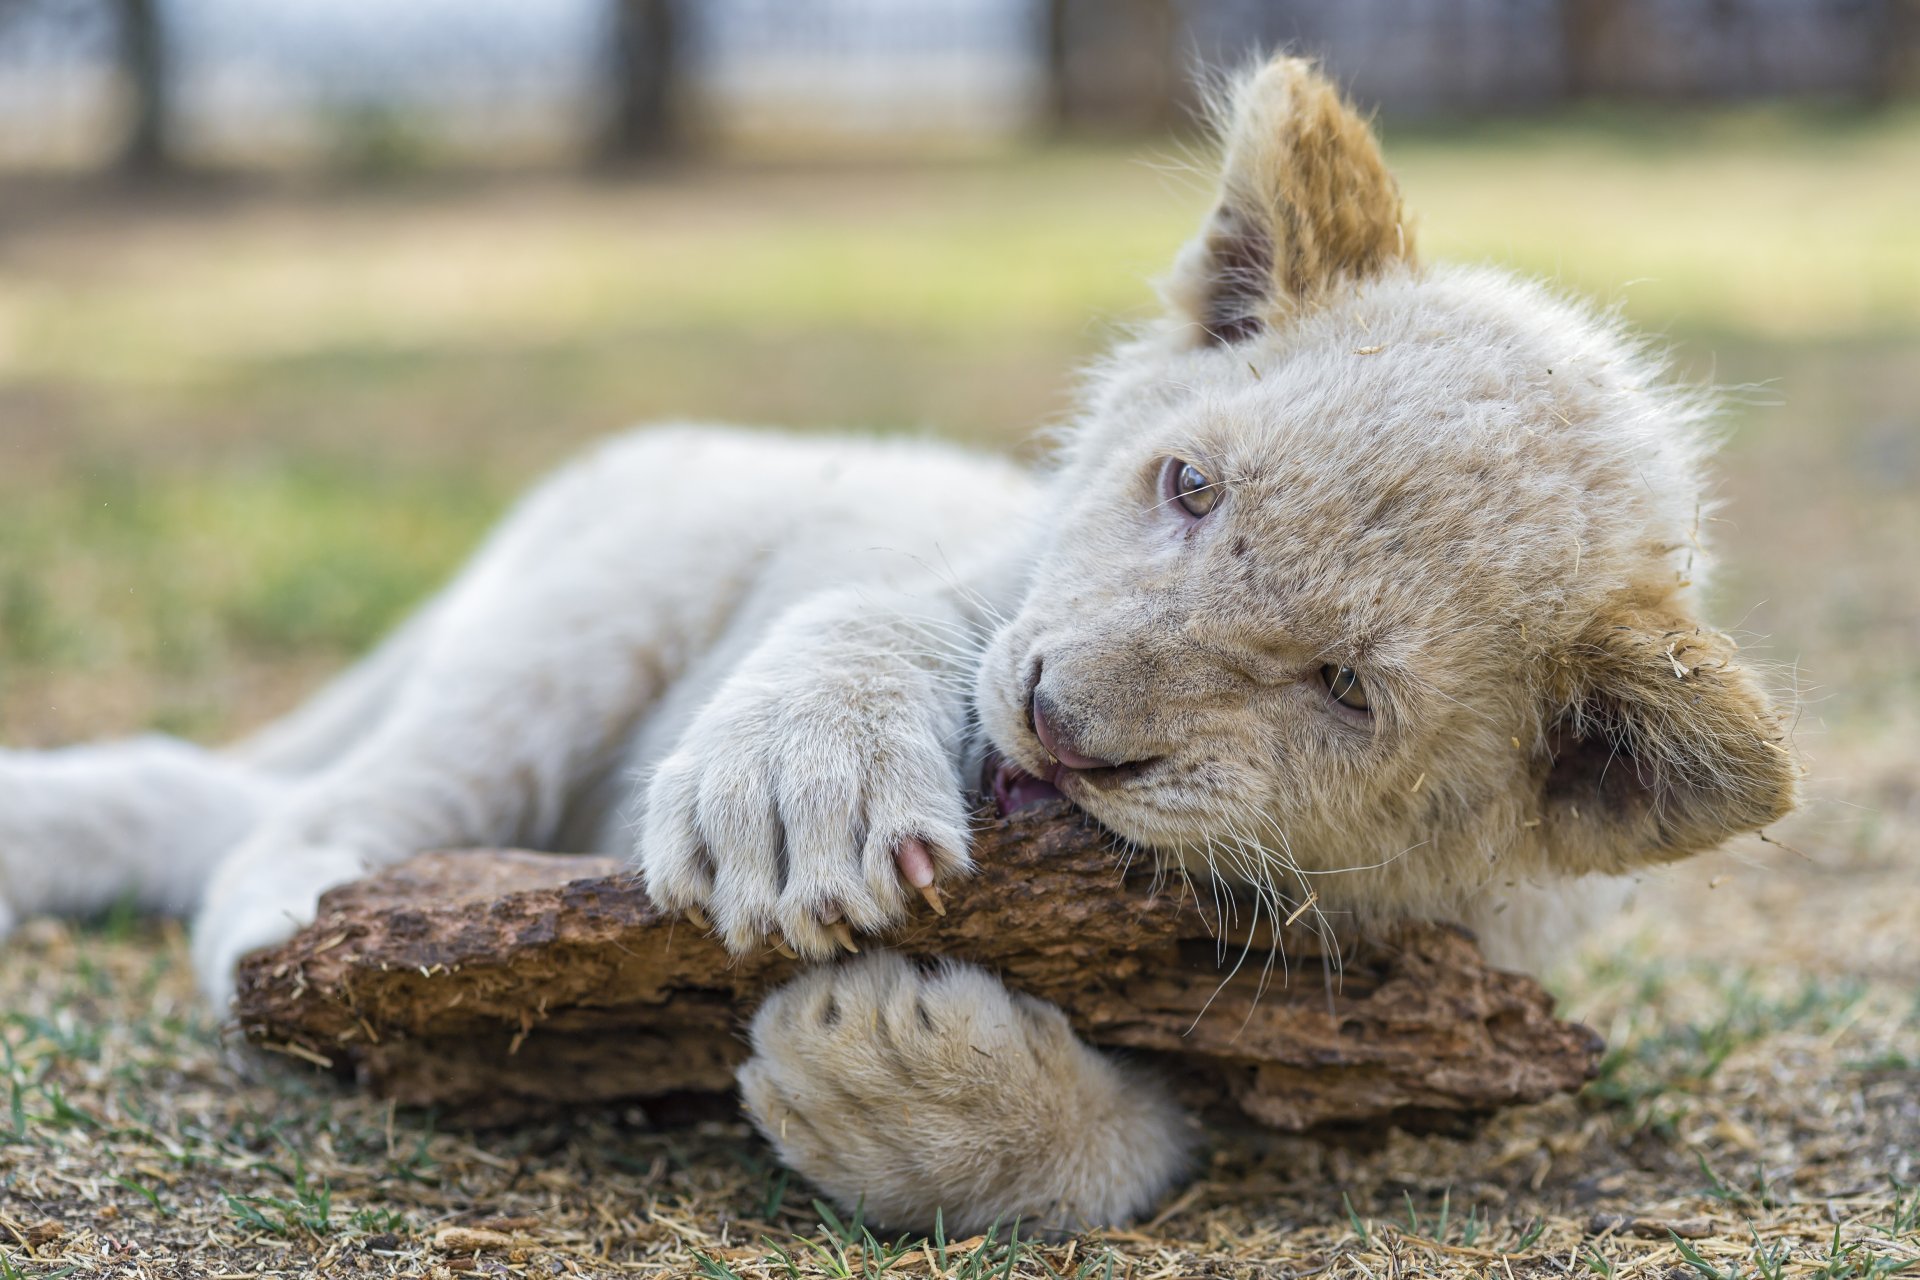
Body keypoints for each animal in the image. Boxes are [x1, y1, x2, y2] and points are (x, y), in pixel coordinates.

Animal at [0, 56, 1794, 1236]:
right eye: (1189, 485)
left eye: (1344, 689)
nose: (1065, 724)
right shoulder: (980, 575)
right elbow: (885, 614)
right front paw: (803, 798)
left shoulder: (1378, 1049)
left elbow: (1137, 1153)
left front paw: (893, 1077)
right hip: (575, 616)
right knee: (290, 823)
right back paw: (318, 939)